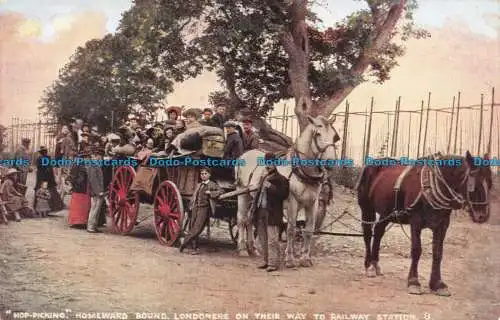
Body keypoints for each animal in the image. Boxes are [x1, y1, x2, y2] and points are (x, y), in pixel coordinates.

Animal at [235, 115, 340, 268]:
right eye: (318, 134)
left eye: (335, 136)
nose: (331, 161)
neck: (300, 170)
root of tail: (246, 153)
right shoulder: (292, 202)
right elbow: (291, 229)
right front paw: (290, 259)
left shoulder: (312, 203)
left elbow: (309, 230)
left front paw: (305, 258)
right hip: (242, 193)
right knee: (242, 219)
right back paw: (242, 248)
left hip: (254, 197)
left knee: (250, 219)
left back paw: (253, 248)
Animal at [356, 151, 492, 296]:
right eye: (474, 185)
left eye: (490, 183)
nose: (482, 216)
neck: (430, 187)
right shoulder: (415, 222)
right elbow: (416, 250)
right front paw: (413, 282)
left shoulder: (442, 225)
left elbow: (438, 252)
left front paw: (437, 284)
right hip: (367, 208)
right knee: (368, 233)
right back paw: (369, 266)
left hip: (386, 213)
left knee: (378, 232)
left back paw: (375, 264)